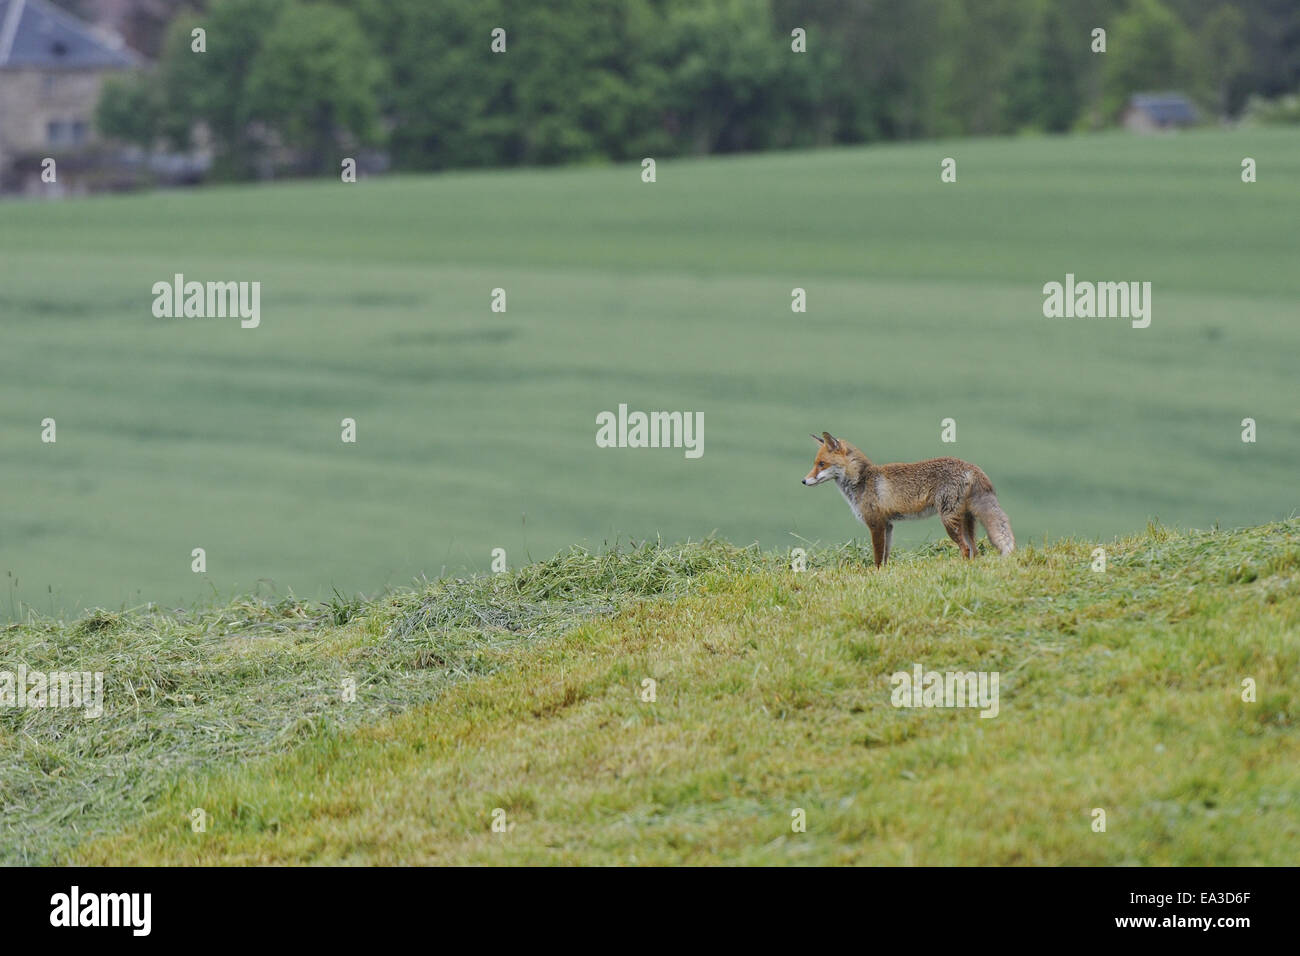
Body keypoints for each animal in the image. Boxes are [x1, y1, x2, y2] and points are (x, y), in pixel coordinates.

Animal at [800, 434, 1013, 567]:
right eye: (815, 464)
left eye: (822, 464)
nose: (803, 481)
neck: (862, 480)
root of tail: (971, 466)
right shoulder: (888, 525)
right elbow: (885, 557)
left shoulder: (875, 524)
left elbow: (877, 558)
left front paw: (875, 575)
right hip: (967, 520)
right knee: (975, 550)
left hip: (948, 521)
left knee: (966, 548)